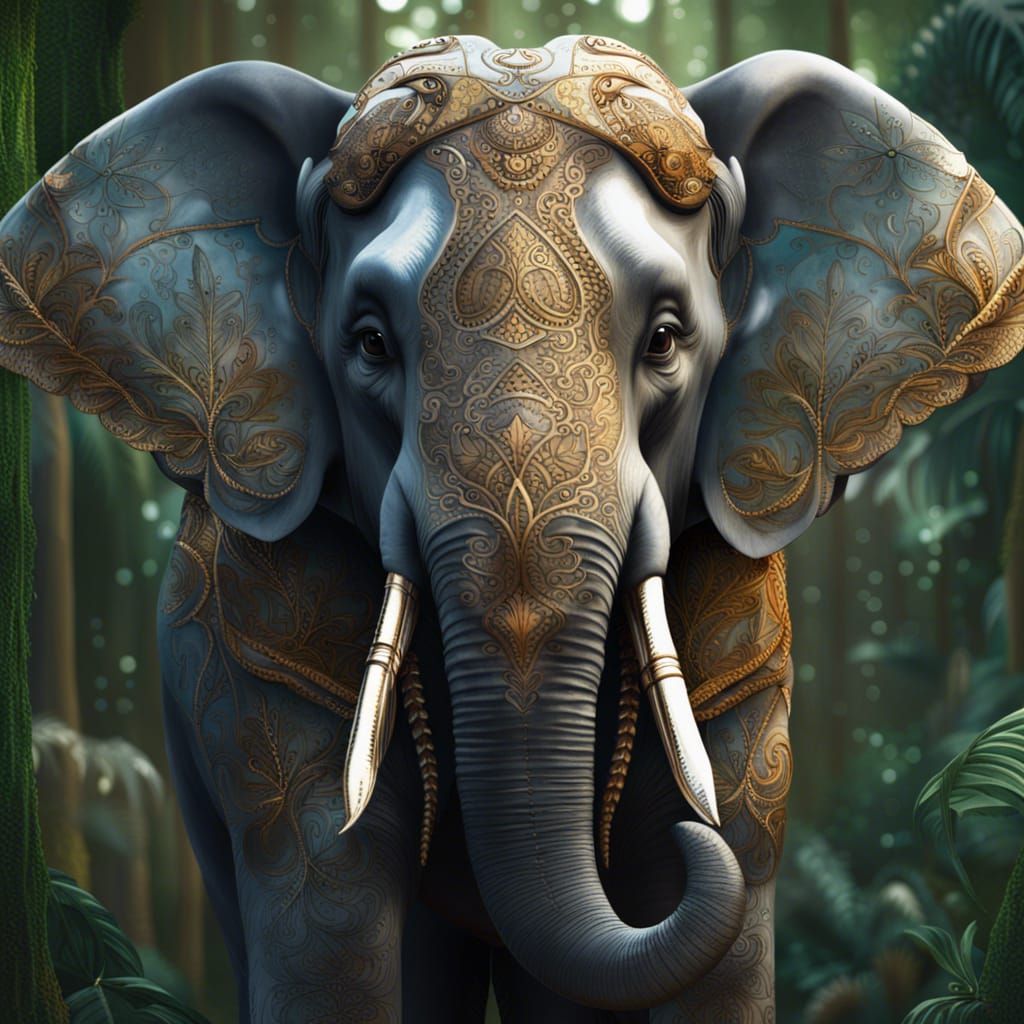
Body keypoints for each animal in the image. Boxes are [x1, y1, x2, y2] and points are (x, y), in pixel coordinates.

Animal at [2, 31, 1023, 1022]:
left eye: (665, 339)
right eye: (369, 342)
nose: (694, 842)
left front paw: (705, 832)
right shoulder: (258, 646)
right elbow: (324, 915)